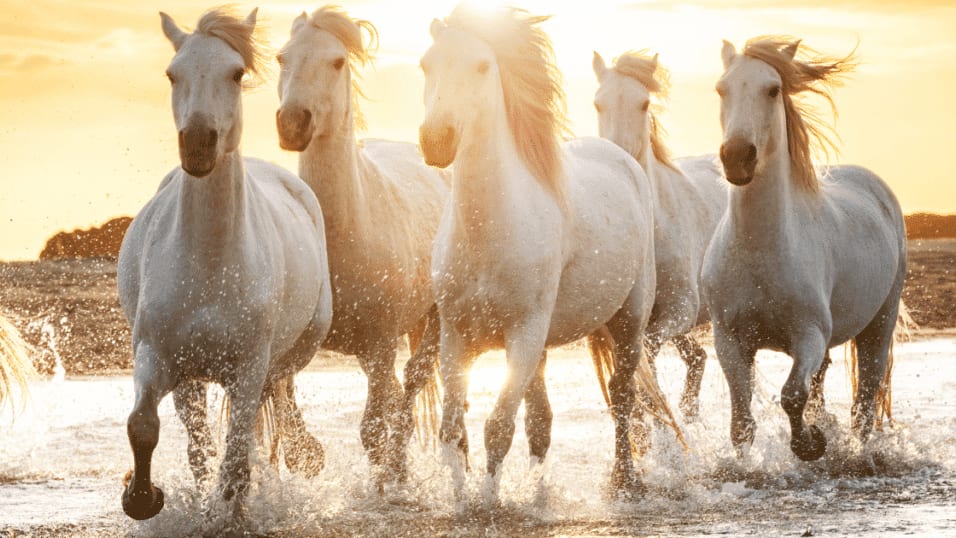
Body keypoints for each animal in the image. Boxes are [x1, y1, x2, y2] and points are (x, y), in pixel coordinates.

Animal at [117, 8, 332, 520]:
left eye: (235, 73)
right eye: (172, 74)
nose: (198, 143)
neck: (212, 264)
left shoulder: (248, 369)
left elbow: (236, 455)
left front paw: (232, 510)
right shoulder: (157, 357)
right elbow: (145, 426)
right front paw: (143, 496)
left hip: (292, 349)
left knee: (279, 400)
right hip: (192, 377)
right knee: (202, 438)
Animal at [274, 6, 448, 485]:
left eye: (336, 61)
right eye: (281, 57)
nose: (292, 123)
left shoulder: (382, 340)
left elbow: (372, 428)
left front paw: (384, 481)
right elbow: (282, 400)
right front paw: (305, 454)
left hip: (430, 321)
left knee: (411, 383)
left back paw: (399, 466)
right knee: (395, 390)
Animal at [420, 5, 665, 501]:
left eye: (482, 66)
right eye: (425, 65)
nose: (435, 139)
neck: (490, 230)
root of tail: (623, 158)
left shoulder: (524, 335)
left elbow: (497, 427)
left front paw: (488, 501)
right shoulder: (456, 337)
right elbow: (454, 429)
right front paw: (460, 496)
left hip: (629, 322)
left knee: (622, 395)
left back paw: (624, 480)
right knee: (542, 419)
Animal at [592, 50, 726, 420]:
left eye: (644, 103)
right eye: (598, 103)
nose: (620, 159)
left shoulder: (681, 308)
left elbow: (647, 355)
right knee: (697, 358)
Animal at [701, 36, 906, 462]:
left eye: (772, 89)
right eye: (720, 89)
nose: (737, 157)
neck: (760, 249)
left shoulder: (808, 335)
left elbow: (792, 395)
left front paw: (810, 444)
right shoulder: (729, 339)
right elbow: (742, 420)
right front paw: (747, 466)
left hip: (880, 322)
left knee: (865, 399)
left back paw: (856, 450)